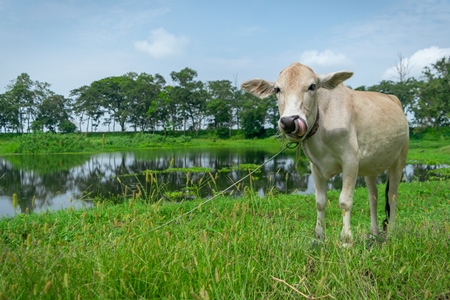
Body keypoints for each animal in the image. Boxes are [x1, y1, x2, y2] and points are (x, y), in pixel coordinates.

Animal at [241, 62, 410, 245]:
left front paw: (346, 239)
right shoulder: (315, 166)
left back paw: (390, 232)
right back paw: (374, 233)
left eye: (312, 86)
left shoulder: (350, 160)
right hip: (370, 167)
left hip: (400, 158)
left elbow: (345, 201)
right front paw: (319, 236)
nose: (289, 122)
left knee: (392, 195)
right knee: (373, 196)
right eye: (277, 89)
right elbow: (320, 201)